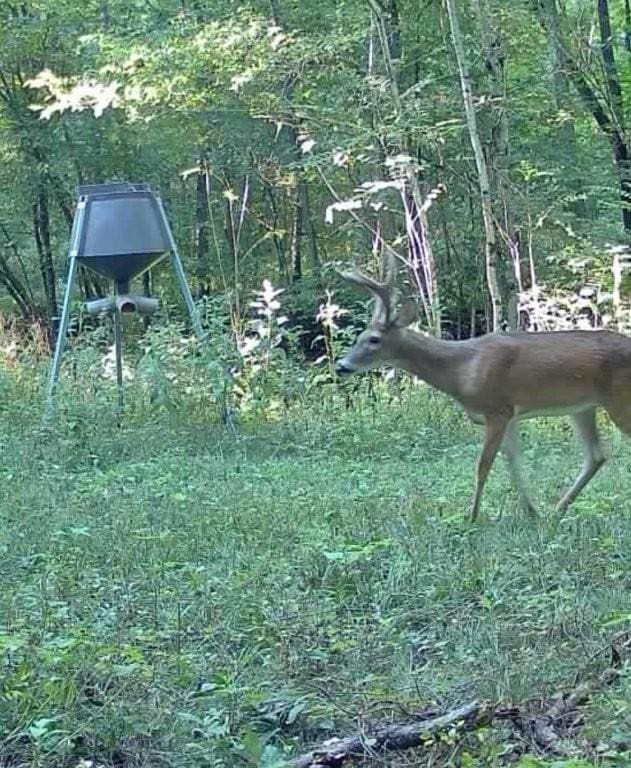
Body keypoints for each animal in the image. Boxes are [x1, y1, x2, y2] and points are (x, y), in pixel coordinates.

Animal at [336, 260, 631, 520]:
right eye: (359, 336)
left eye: (374, 339)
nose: (341, 366)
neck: (462, 369)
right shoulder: (510, 413)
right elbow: (512, 460)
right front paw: (531, 513)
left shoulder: (497, 409)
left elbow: (483, 466)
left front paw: (472, 517)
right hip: (583, 406)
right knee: (595, 456)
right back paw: (557, 511)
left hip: (618, 399)